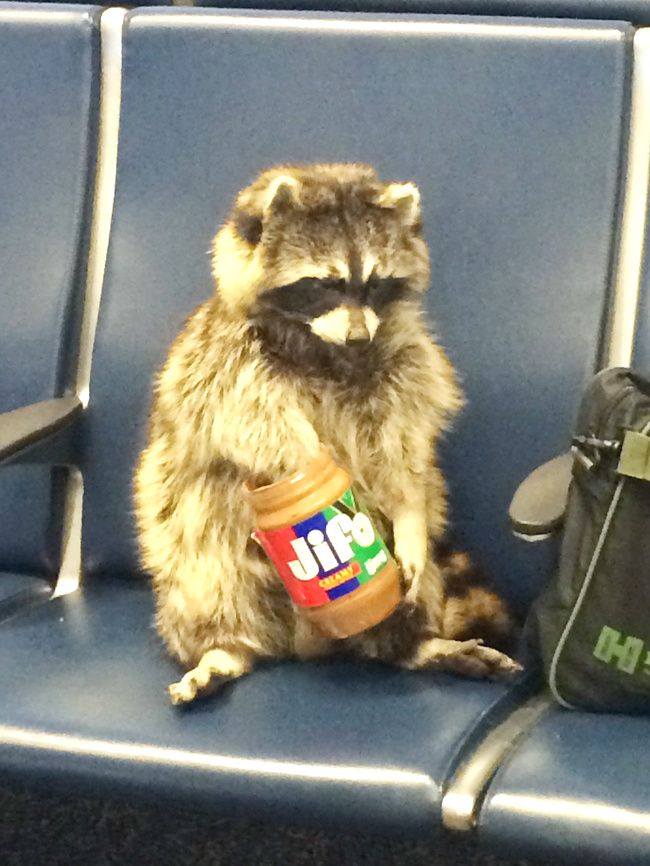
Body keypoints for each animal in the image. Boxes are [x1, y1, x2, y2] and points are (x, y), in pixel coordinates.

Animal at [134, 164, 520, 704]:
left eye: (376, 284)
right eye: (324, 284)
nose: (359, 336)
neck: (324, 347)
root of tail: (304, 646)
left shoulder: (405, 362)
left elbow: (404, 450)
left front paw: (407, 511)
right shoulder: (227, 364)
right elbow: (260, 435)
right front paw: (311, 481)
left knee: (413, 595)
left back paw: (414, 644)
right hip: (194, 558)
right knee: (206, 579)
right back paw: (224, 648)